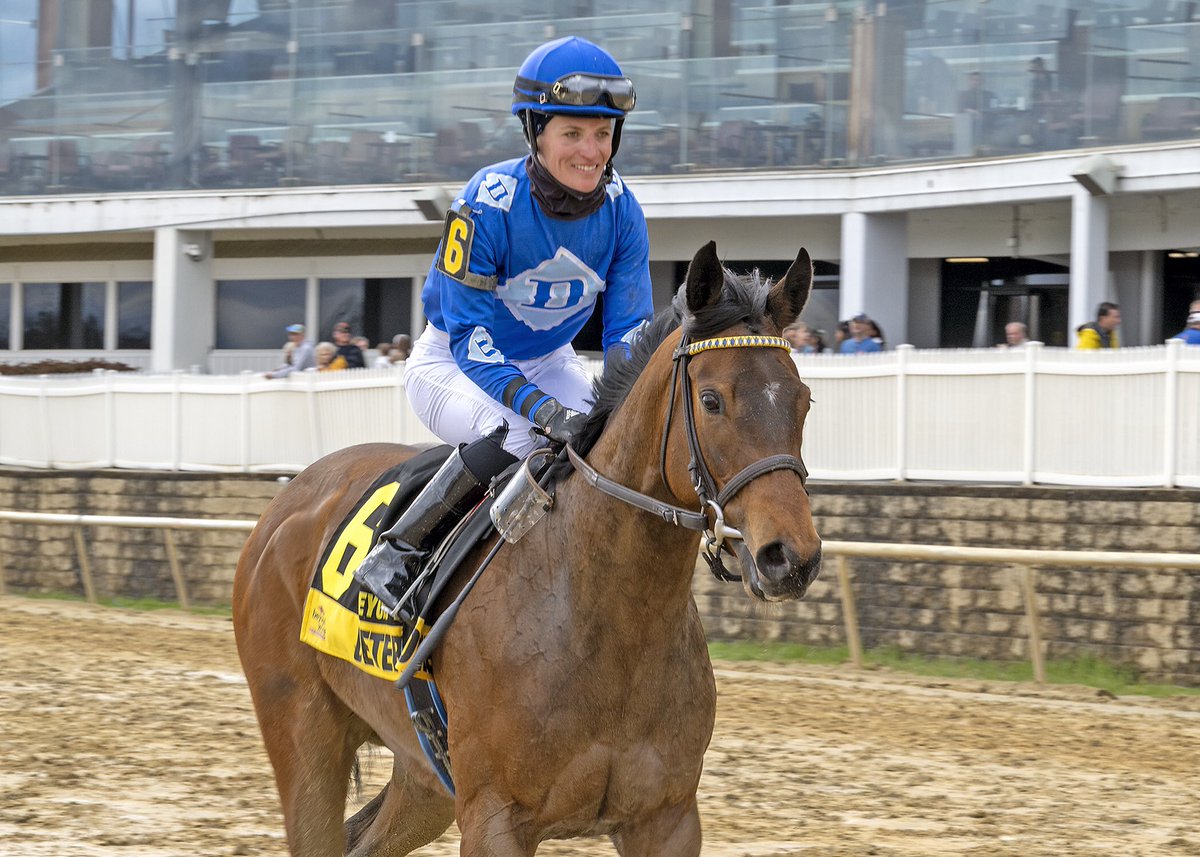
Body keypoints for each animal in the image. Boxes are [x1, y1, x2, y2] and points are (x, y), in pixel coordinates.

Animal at [229, 240, 820, 854]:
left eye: (803, 400)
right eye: (711, 400)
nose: (789, 557)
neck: (605, 616)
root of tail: (283, 503)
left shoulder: (668, 816)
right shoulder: (494, 816)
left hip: (424, 780)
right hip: (304, 735)